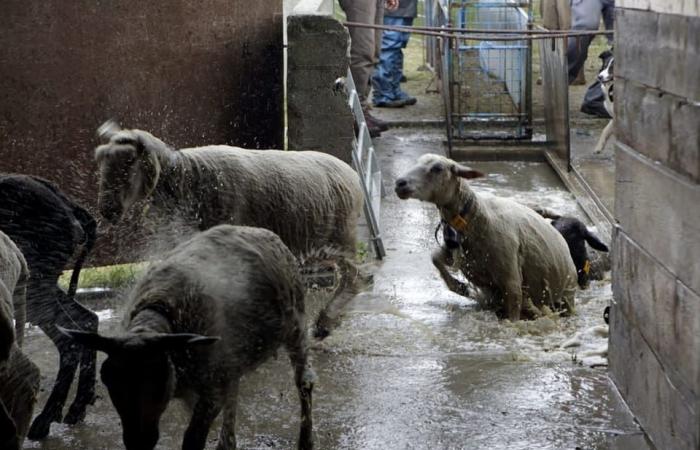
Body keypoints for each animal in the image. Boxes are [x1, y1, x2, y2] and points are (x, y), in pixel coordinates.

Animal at [0, 175, 98, 440]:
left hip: (35, 282)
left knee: (69, 339)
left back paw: (46, 418)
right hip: (41, 284)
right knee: (86, 319)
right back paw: (77, 407)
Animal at [60, 225, 318, 450]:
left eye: (158, 379)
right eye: (108, 379)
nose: (138, 442)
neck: (159, 310)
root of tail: (262, 231)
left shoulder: (211, 391)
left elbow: (192, 440)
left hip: (295, 326)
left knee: (304, 383)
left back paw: (306, 440)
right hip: (232, 359)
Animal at [396, 154, 576, 320]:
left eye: (437, 168)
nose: (399, 183)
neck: (477, 218)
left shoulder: (511, 279)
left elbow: (513, 316)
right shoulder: (463, 258)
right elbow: (435, 258)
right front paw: (460, 287)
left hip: (567, 293)